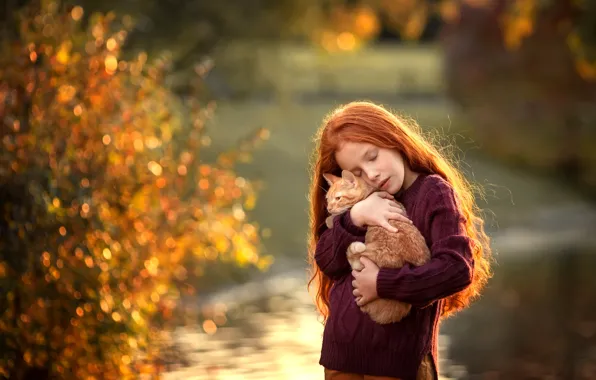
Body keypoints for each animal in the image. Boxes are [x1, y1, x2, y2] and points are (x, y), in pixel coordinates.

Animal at [324, 170, 430, 324]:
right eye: (327, 199)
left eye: (338, 198)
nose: (328, 208)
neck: (370, 192)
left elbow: (342, 214)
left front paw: (330, 219)